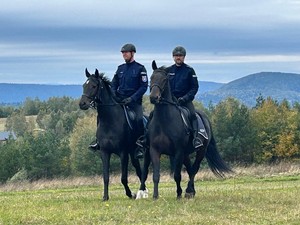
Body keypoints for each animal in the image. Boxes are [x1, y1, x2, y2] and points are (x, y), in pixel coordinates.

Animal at [79, 68, 144, 200]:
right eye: (84, 85)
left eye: (94, 86)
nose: (82, 104)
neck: (110, 121)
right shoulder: (104, 152)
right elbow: (106, 177)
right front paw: (105, 197)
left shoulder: (123, 153)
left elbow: (123, 178)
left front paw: (130, 194)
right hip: (132, 153)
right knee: (138, 169)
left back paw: (142, 191)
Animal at [137, 60, 231, 200]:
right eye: (152, 78)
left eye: (164, 79)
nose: (154, 97)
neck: (164, 121)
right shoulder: (154, 150)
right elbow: (156, 175)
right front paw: (155, 196)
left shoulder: (178, 152)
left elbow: (177, 175)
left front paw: (179, 194)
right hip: (186, 154)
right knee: (190, 168)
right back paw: (191, 191)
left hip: (201, 151)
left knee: (194, 169)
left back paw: (188, 191)